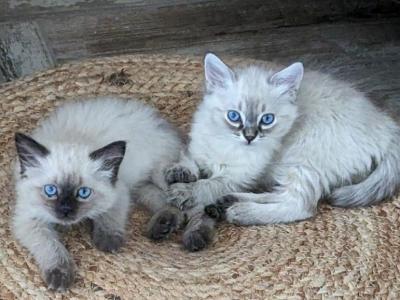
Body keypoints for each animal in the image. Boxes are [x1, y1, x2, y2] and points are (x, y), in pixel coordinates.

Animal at [12, 97, 181, 292]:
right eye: (51, 190)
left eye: (83, 193)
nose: (65, 210)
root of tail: (159, 120)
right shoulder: (29, 219)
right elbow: (50, 246)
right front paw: (60, 276)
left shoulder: (118, 192)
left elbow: (108, 217)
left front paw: (107, 241)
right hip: (140, 186)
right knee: (158, 197)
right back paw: (162, 224)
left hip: (161, 176)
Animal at [147, 53, 400, 251]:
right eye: (234, 116)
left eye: (267, 119)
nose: (250, 136)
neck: (226, 143)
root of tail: (386, 125)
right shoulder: (200, 149)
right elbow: (188, 158)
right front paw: (180, 172)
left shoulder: (237, 175)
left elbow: (208, 184)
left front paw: (184, 192)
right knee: (281, 195)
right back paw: (229, 202)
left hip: (301, 159)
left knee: (301, 205)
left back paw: (240, 211)